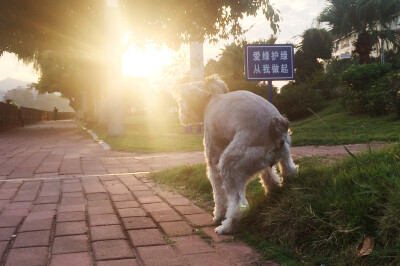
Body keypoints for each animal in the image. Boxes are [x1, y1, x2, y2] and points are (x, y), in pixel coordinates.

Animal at [172, 75, 296, 235]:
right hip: (283, 153)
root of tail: (274, 125)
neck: (211, 97)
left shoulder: (214, 160)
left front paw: (218, 215)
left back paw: (227, 226)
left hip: (229, 165)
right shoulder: (266, 165)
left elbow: (218, 194)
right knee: (289, 171)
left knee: (239, 206)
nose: (180, 116)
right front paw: (272, 188)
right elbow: (270, 177)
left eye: (181, 102)